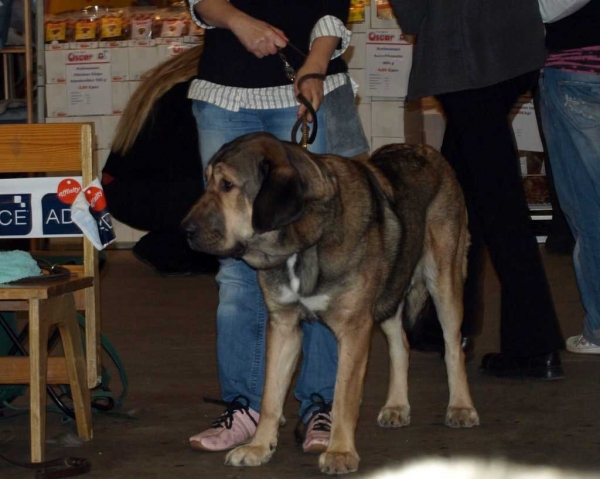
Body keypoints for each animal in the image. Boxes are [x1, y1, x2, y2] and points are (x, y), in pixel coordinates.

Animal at [182, 133, 478, 474]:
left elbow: (343, 397)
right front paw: (258, 446)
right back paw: (396, 406)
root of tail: (426, 149)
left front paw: (339, 452)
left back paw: (461, 407)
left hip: (443, 279)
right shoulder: (283, 326)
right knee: (400, 344)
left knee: (453, 346)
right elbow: (270, 395)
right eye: (207, 181)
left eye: (228, 185)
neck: (305, 240)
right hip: (391, 287)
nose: (184, 230)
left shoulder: (354, 329)